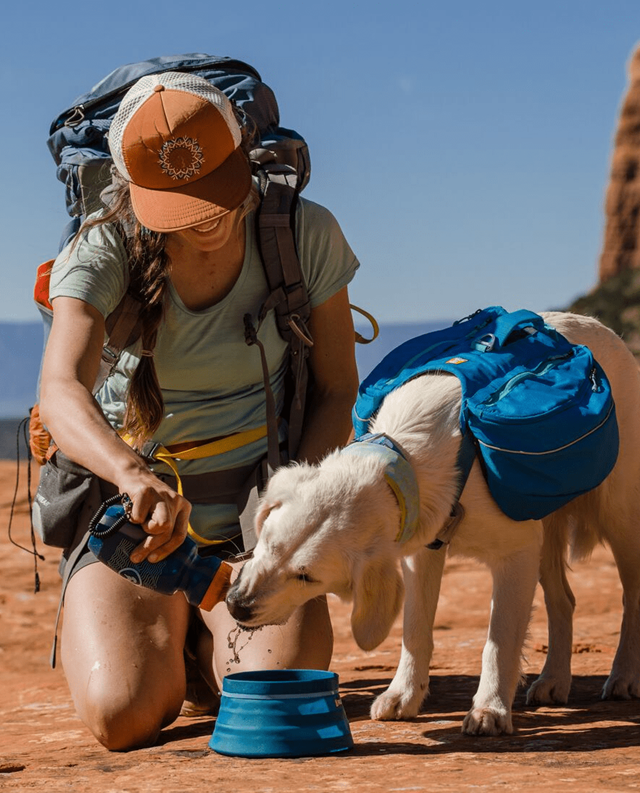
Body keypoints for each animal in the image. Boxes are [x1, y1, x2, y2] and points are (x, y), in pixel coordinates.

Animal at [225, 312, 640, 732]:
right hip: (544, 527)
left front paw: (490, 709)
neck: (406, 455)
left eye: (306, 577)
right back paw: (555, 679)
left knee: (630, 594)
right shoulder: (421, 547)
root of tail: (601, 328)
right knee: (564, 601)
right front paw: (404, 694)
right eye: (267, 544)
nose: (236, 606)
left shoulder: (515, 553)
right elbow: (415, 627)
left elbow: (499, 640)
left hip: (619, 514)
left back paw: (624, 675)